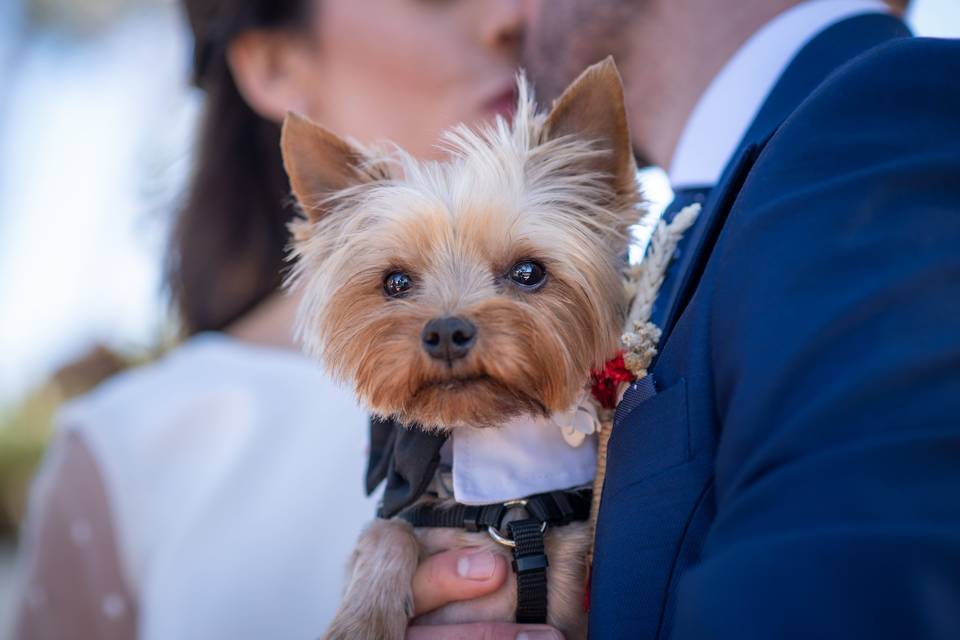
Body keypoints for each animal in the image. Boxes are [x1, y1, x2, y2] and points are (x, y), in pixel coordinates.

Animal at [282, 57, 640, 636]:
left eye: (528, 272)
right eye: (395, 282)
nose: (446, 331)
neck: (506, 508)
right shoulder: (404, 518)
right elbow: (387, 531)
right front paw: (364, 617)